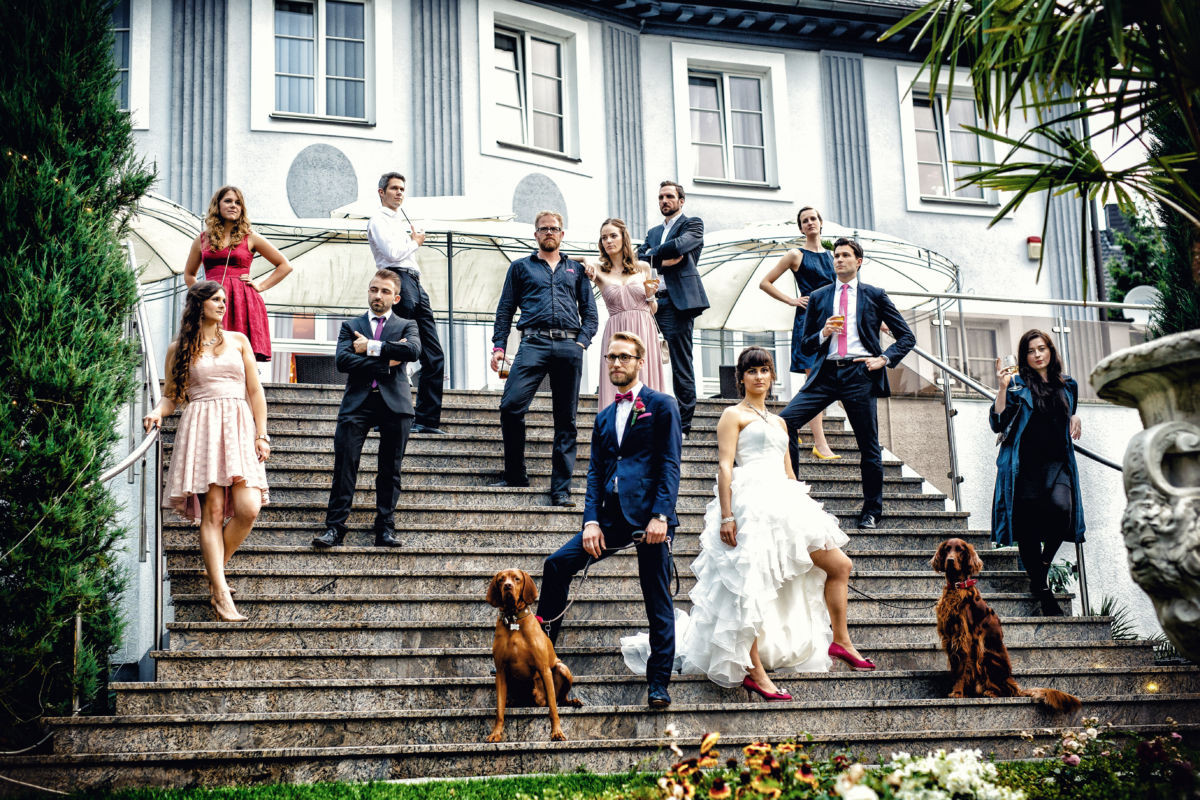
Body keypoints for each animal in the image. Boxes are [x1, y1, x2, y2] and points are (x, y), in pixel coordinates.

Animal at [484, 568, 583, 743]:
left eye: (516, 579)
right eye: (501, 579)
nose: (507, 586)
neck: (513, 620)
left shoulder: (544, 669)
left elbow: (553, 708)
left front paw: (557, 732)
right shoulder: (500, 672)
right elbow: (499, 710)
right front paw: (496, 733)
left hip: (562, 668)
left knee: (560, 699)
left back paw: (573, 701)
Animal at [926, 537, 1080, 714]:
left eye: (960, 550)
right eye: (947, 549)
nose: (950, 560)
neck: (957, 587)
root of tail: (1014, 685)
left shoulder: (965, 638)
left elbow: (962, 669)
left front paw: (957, 693)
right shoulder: (950, 637)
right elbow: (955, 668)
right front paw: (957, 690)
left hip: (986, 655)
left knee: (1003, 689)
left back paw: (990, 692)